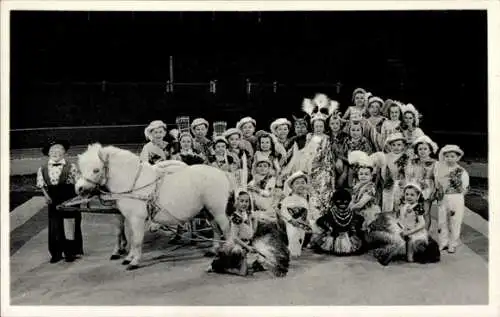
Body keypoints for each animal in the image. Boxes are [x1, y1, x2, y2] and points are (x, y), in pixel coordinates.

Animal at [75, 143, 231, 270]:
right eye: (81, 169)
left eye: (96, 170)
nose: (79, 188)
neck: (133, 184)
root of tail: (222, 174)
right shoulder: (130, 219)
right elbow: (132, 238)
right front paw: (128, 258)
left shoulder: (137, 219)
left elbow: (137, 240)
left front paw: (134, 262)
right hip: (207, 211)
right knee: (216, 229)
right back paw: (212, 250)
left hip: (218, 211)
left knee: (226, 229)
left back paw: (227, 250)